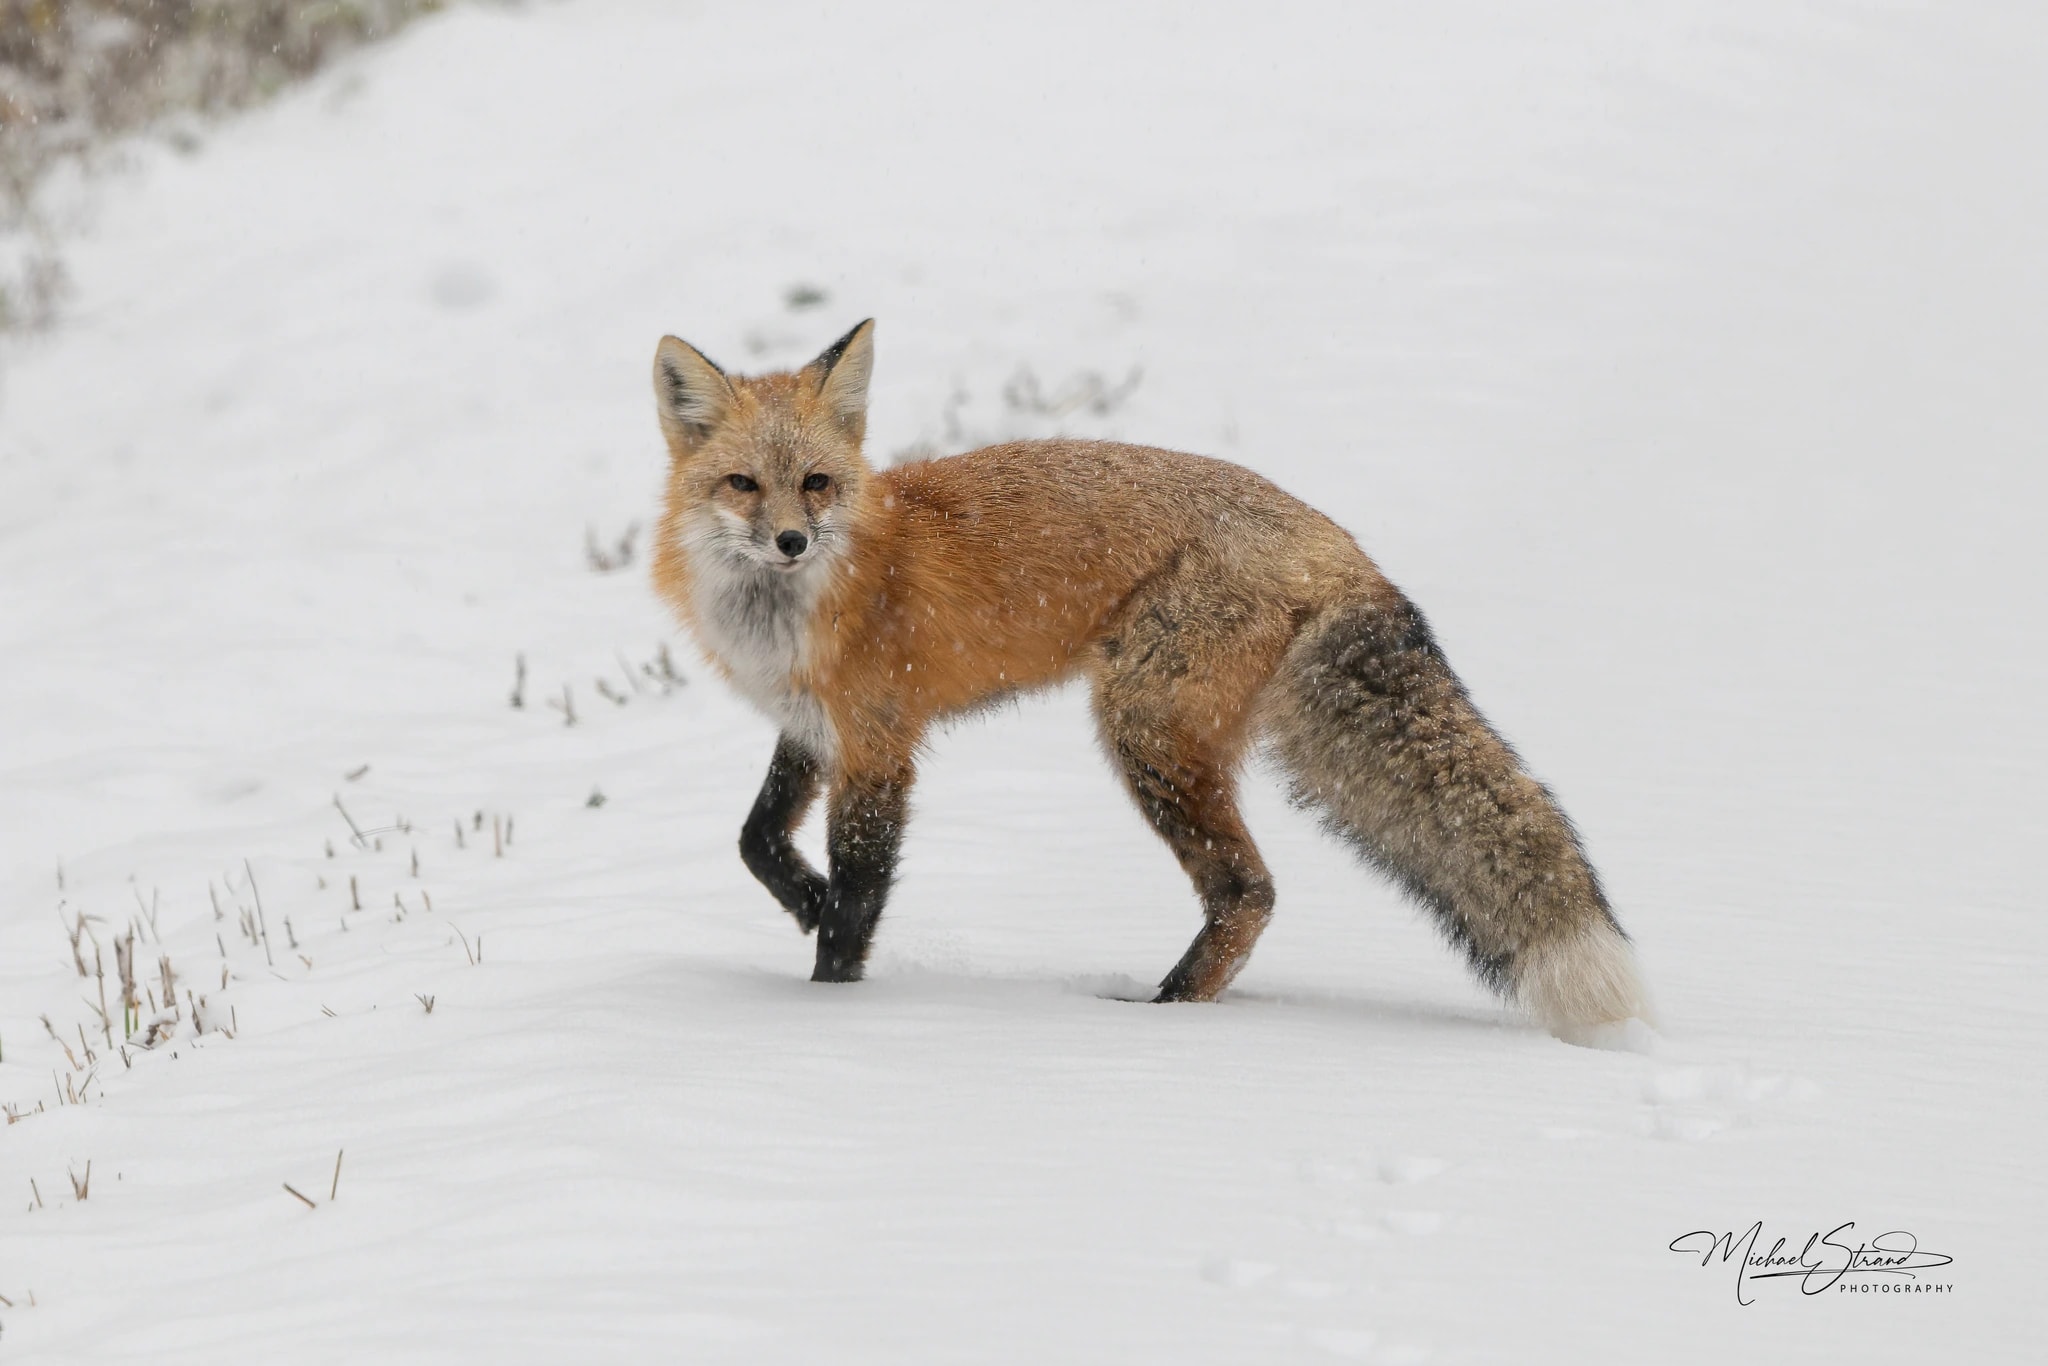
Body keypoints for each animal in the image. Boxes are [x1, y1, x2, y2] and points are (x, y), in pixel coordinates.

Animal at [649, 319, 1652, 1041]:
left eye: (816, 483)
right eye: (743, 484)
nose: (791, 541)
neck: (793, 608)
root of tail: (1332, 540)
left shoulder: (878, 741)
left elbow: (859, 898)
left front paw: (831, 1007)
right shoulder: (810, 724)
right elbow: (755, 838)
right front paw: (804, 900)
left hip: (1142, 727)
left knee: (1249, 890)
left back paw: (1162, 1019)